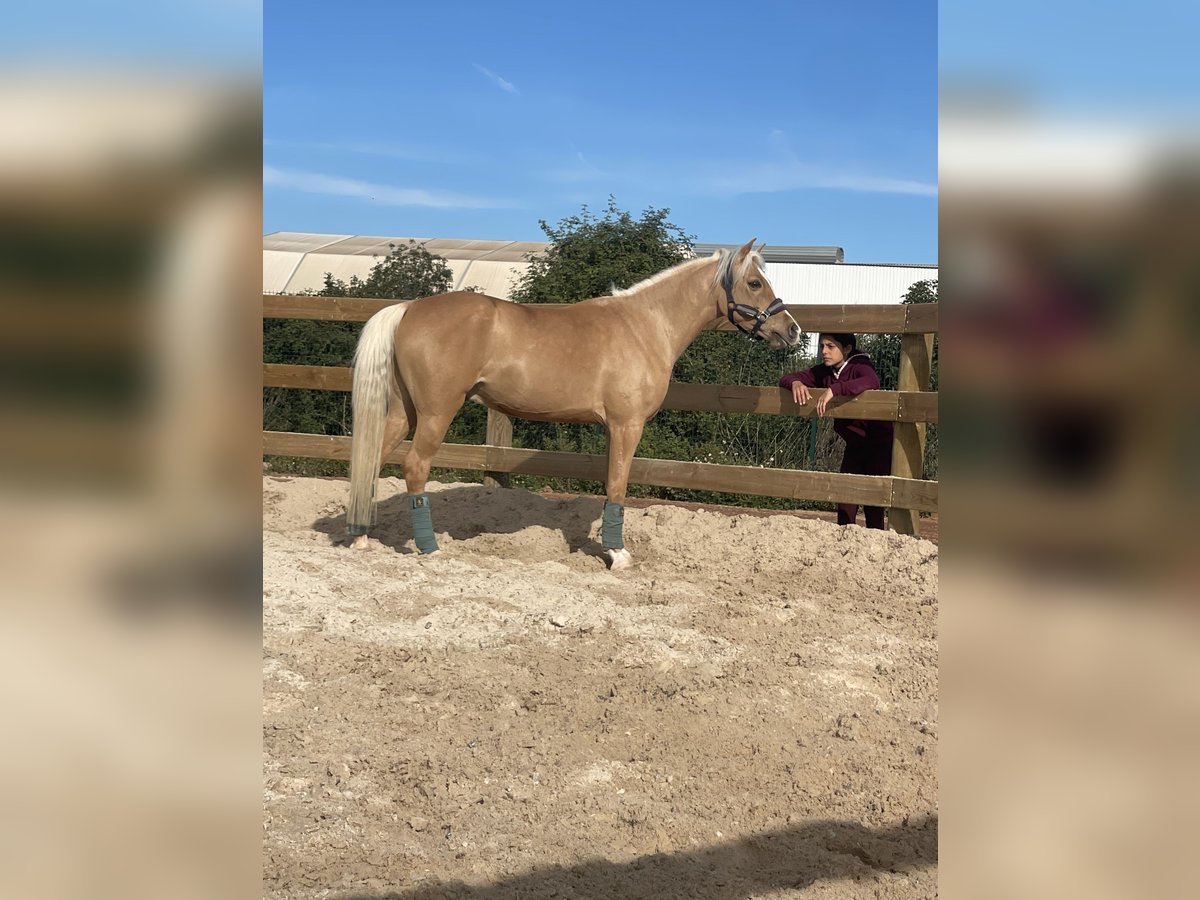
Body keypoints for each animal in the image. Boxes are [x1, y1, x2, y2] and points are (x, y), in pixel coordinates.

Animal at [345, 240, 796, 571]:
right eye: (755, 283)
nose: (790, 329)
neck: (644, 326)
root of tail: (408, 308)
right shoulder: (626, 425)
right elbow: (618, 485)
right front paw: (619, 556)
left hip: (404, 412)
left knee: (372, 460)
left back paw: (361, 537)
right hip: (437, 413)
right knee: (414, 466)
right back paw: (430, 548)